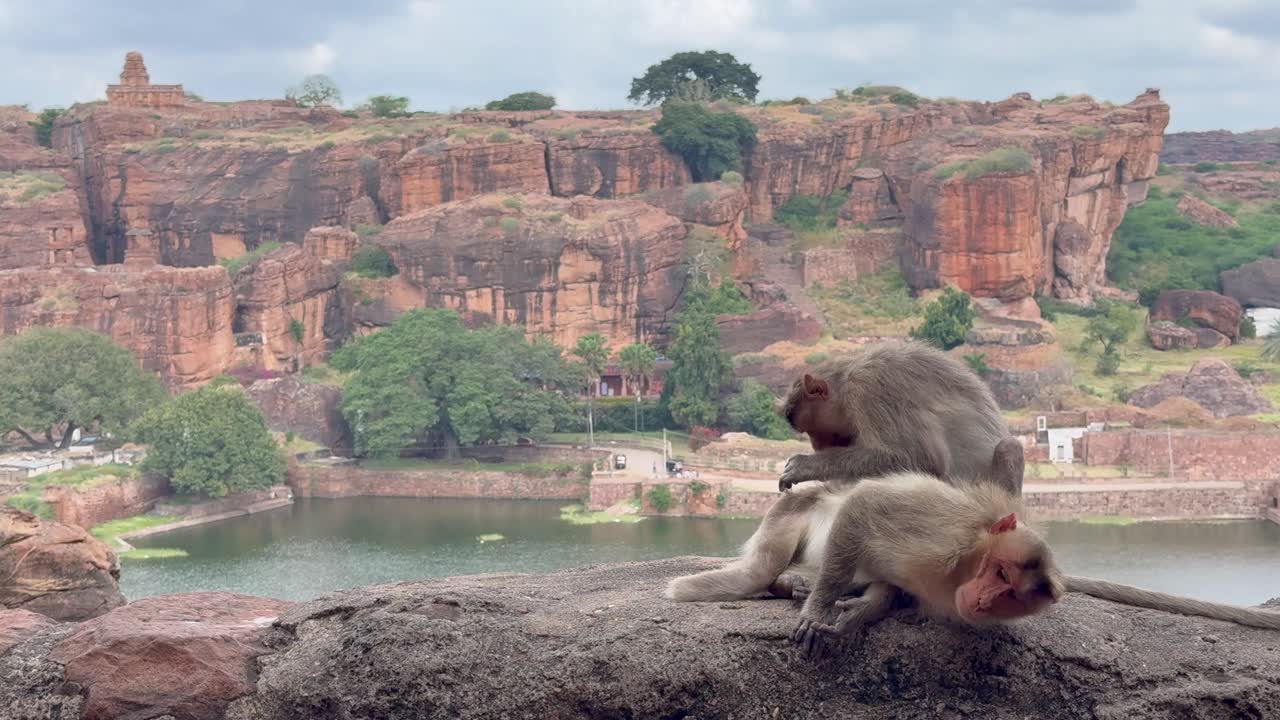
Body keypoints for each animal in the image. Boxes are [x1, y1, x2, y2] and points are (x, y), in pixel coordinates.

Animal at [775, 340, 1009, 493]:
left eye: (810, 430)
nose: (816, 446)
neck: (846, 382)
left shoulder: (869, 389)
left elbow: (922, 459)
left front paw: (804, 465)